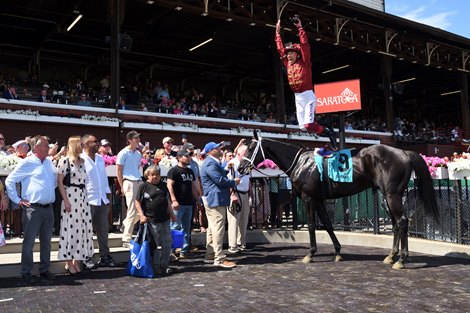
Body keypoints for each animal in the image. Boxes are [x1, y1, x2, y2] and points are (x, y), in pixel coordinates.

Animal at [239, 132, 440, 268]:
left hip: (393, 195)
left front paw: (310, 254)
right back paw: (391, 256)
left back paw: (401, 260)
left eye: (250, 148)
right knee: (397, 224)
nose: (240, 167)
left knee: (402, 221)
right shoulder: (319, 200)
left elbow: (311, 225)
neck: (301, 164)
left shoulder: (308, 198)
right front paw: (337, 251)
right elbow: (327, 224)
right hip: (388, 197)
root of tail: (404, 153)